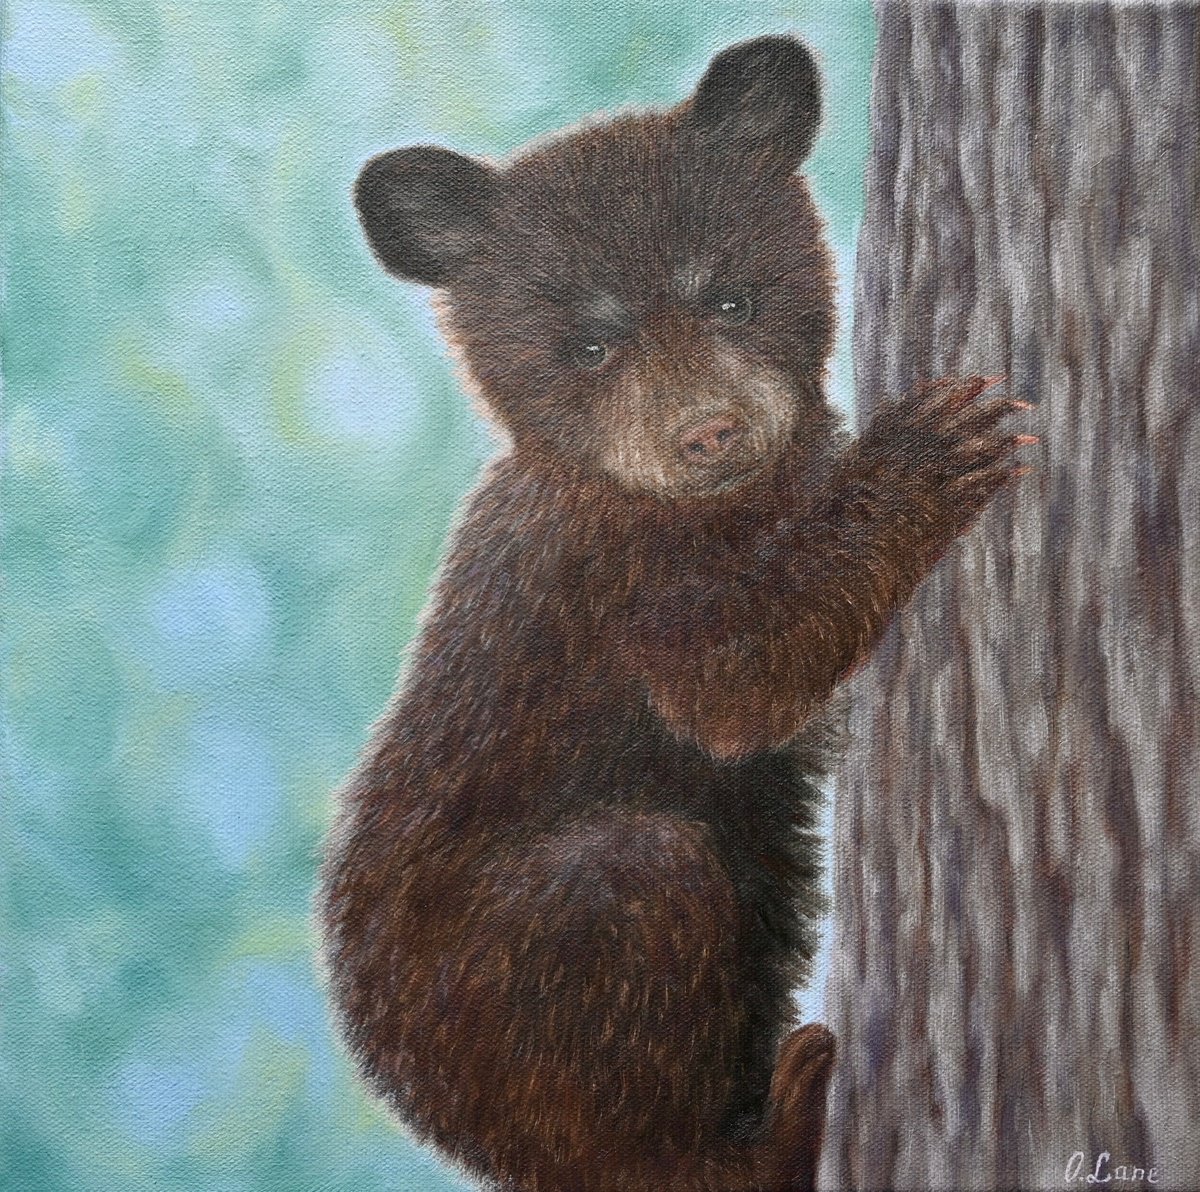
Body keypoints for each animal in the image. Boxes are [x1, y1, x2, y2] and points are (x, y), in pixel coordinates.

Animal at [320, 34, 1031, 1192]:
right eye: (591, 345)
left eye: (729, 299)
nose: (708, 432)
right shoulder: (616, 581)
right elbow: (732, 680)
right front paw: (926, 453)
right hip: (514, 992)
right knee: (635, 894)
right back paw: (778, 1122)